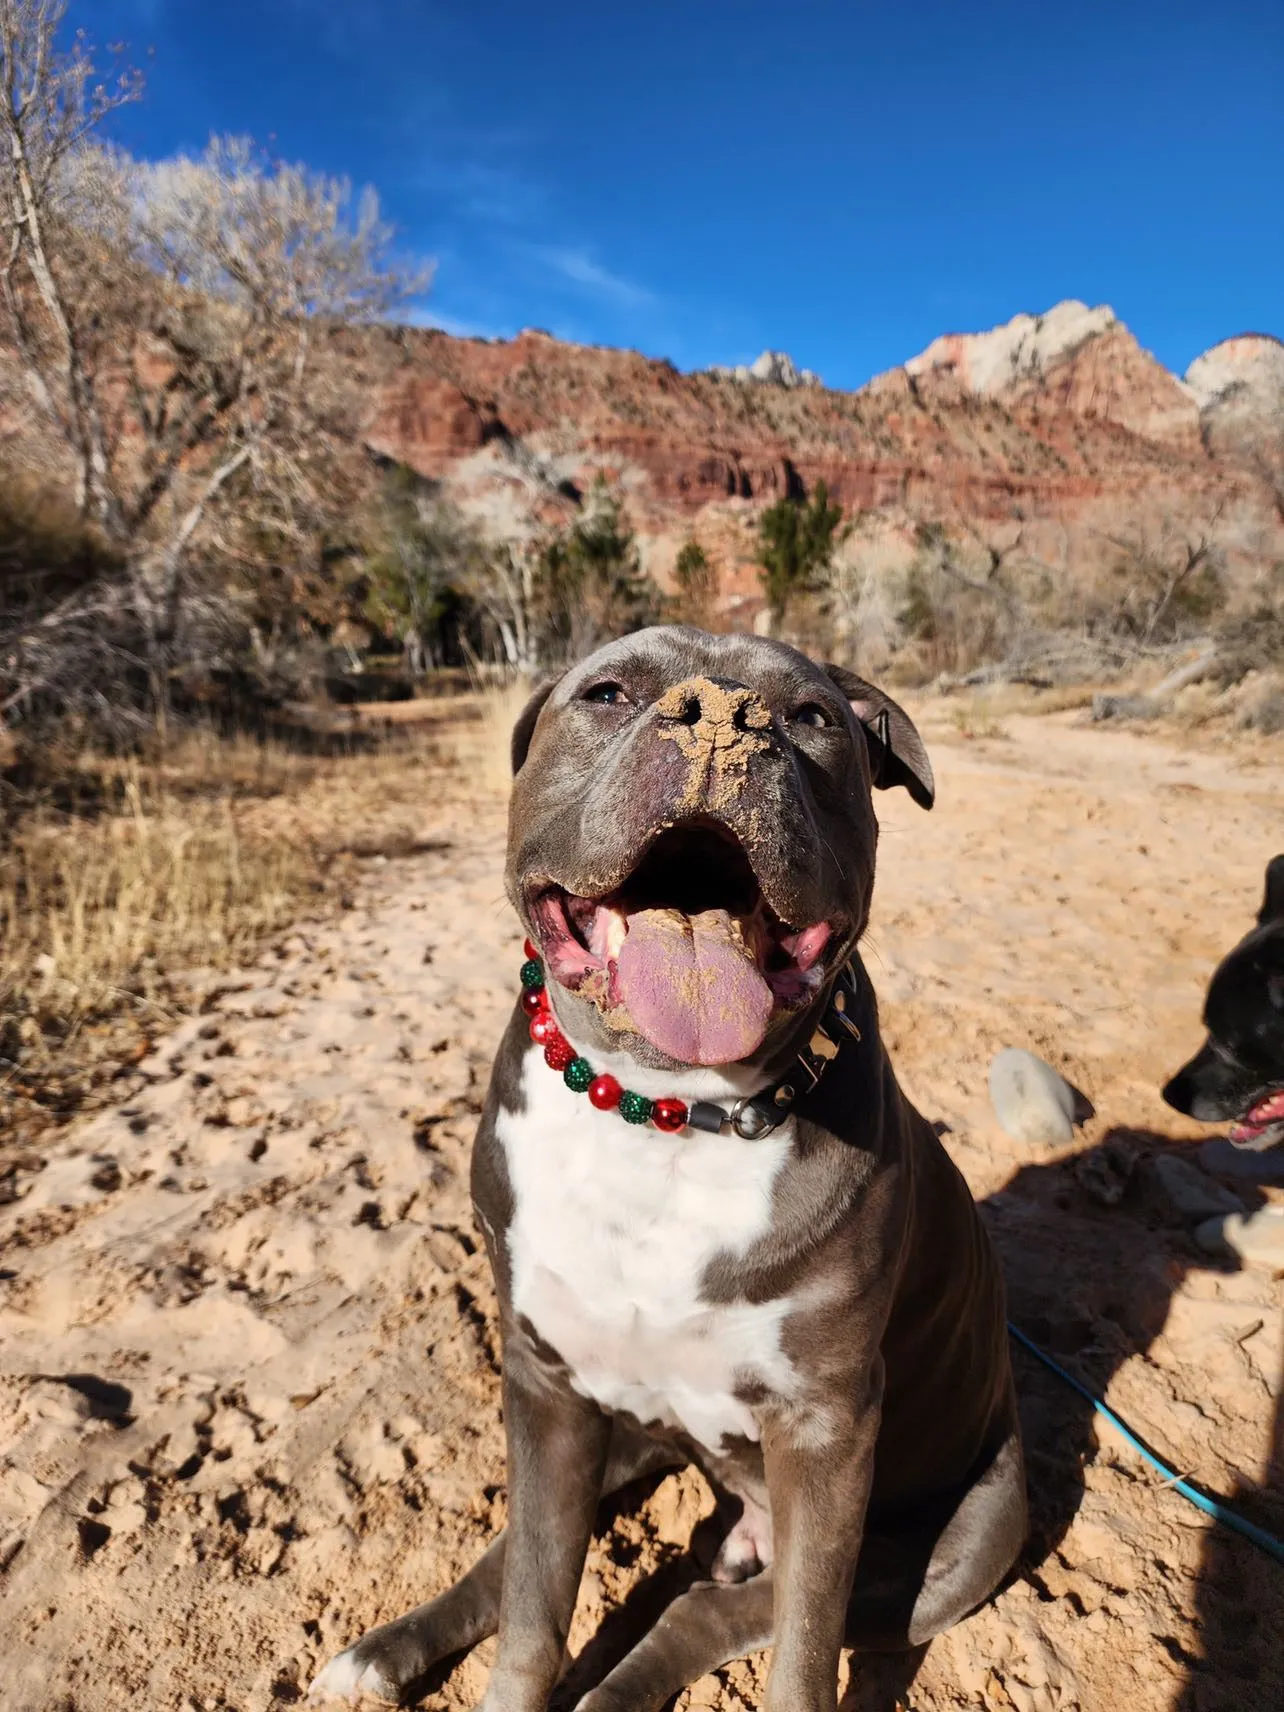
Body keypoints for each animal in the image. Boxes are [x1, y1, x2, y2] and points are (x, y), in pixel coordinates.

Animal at [316, 630, 1034, 1712]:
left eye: (814, 716)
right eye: (608, 693)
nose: (722, 715)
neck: (669, 1115)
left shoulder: (825, 1431)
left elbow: (802, 1656)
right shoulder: (545, 1381)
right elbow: (532, 1604)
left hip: (958, 1545)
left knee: (713, 1607)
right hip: (622, 1428)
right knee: (512, 1558)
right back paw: (385, 1650)